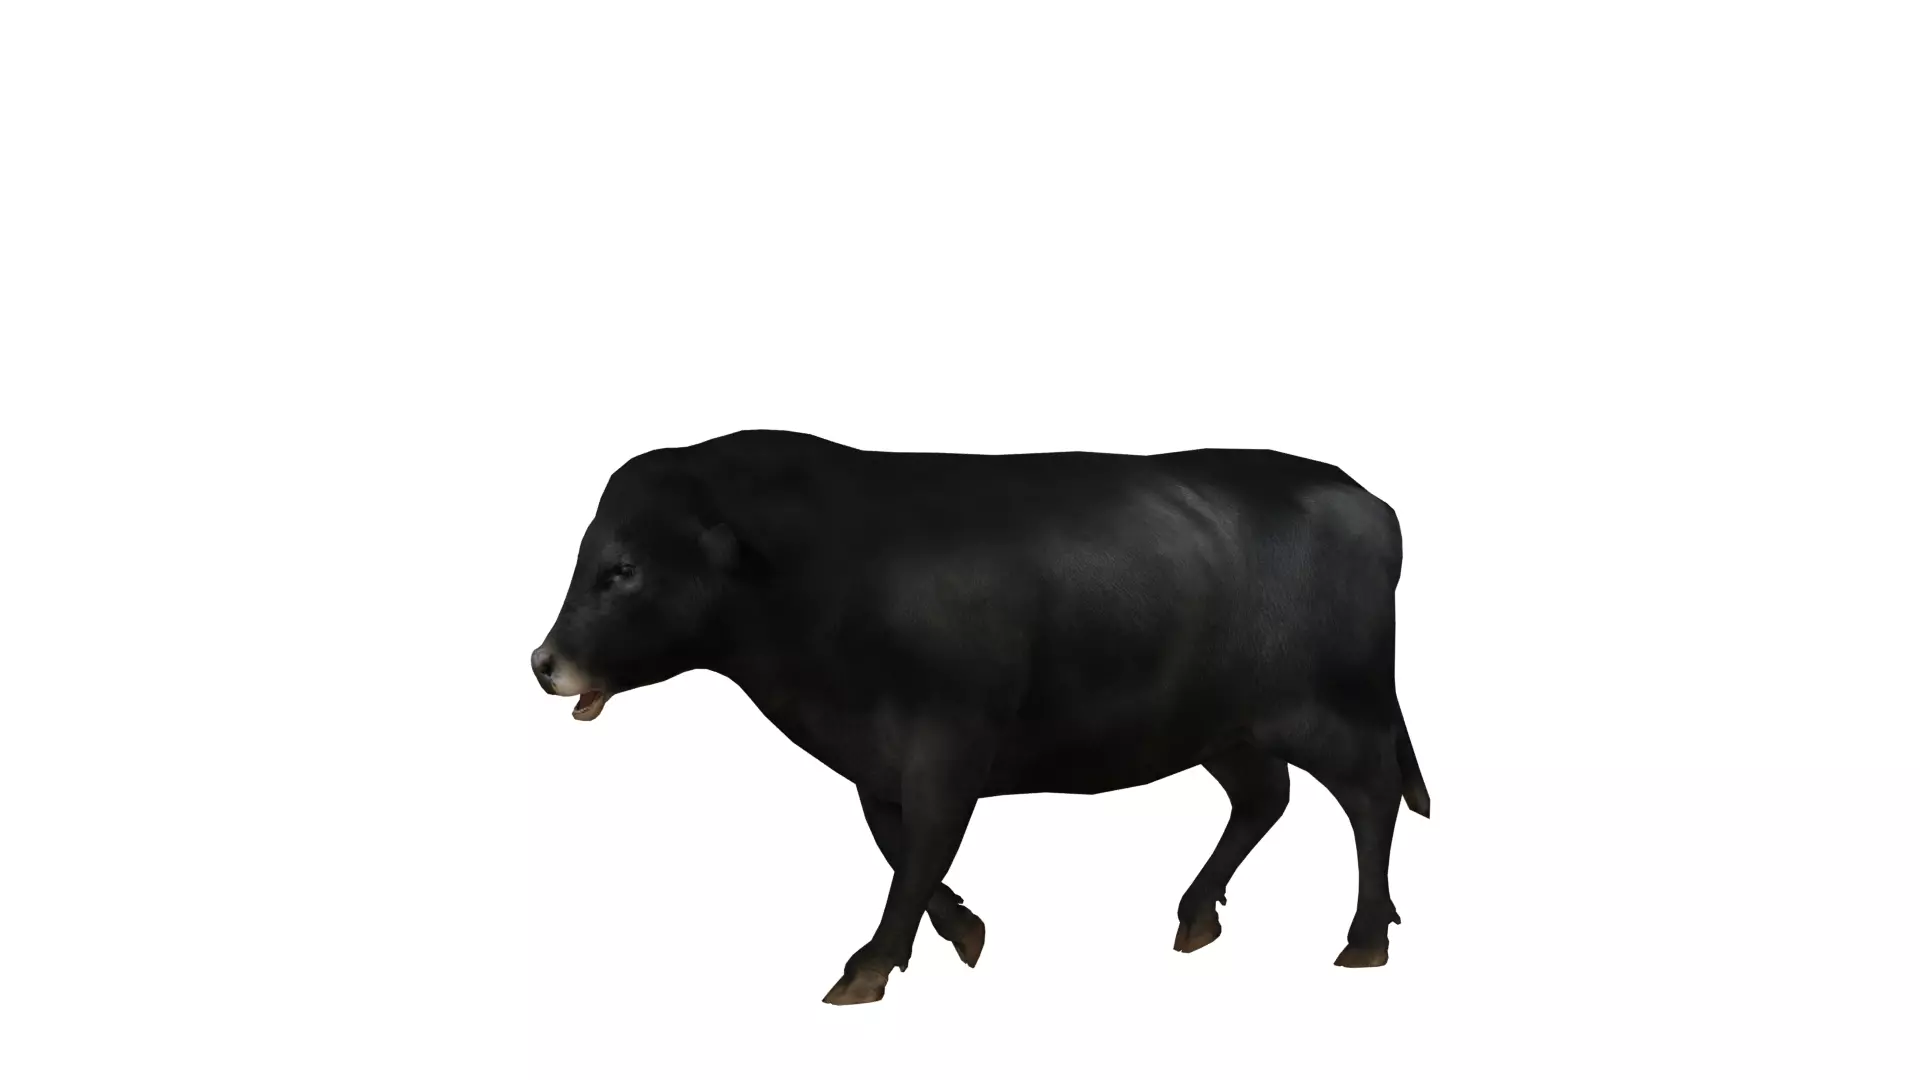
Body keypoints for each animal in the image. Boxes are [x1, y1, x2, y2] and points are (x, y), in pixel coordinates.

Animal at [530, 429, 1429, 1005]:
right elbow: (902, 849)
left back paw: (1365, 937)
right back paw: (1197, 912)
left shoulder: (947, 746)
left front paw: (869, 966)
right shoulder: (878, 763)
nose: (544, 663)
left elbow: (923, 848)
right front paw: (963, 930)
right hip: (1223, 726)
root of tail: (1366, 498)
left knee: (1371, 794)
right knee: (1264, 797)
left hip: (1331, 711)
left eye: (622, 569)